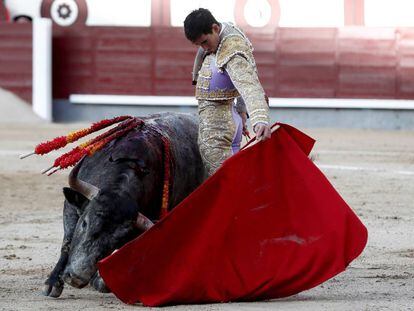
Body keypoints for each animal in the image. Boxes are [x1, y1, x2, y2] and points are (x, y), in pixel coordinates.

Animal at [42, 113, 205, 298]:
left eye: (117, 239)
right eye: (84, 223)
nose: (76, 277)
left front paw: (102, 280)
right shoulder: (71, 207)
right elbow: (67, 242)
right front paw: (52, 283)